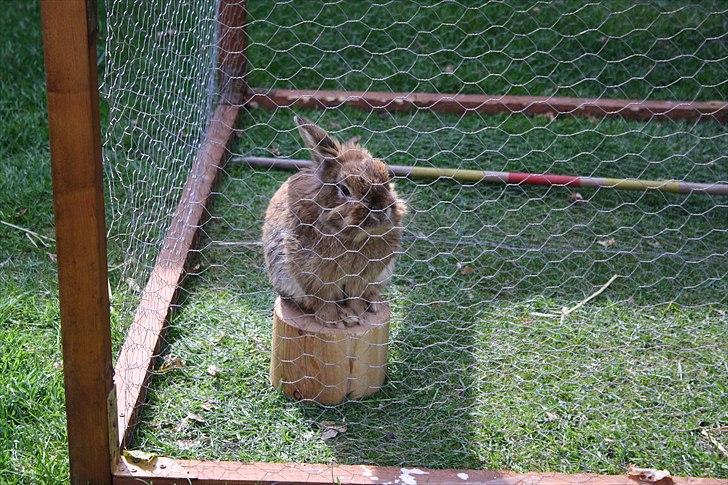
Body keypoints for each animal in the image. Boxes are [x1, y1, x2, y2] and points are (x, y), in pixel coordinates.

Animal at [264, 115, 410, 328]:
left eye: (388, 182)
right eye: (345, 189)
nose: (381, 210)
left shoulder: (362, 278)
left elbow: (356, 298)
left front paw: (357, 316)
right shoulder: (314, 278)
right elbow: (323, 302)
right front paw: (335, 321)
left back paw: (374, 304)